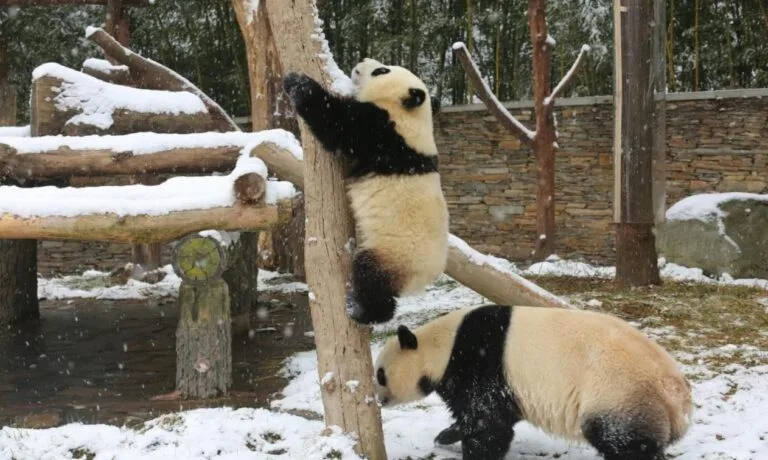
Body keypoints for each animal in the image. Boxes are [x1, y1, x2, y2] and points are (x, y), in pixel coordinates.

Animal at [282, 58, 449, 325]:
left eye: (381, 70)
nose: (362, 62)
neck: (413, 116)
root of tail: (424, 279)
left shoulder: (382, 132)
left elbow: (336, 124)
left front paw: (297, 82)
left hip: (395, 254)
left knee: (370, 277)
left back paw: (360, 310)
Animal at [374, 305, 693, 460]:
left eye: (380, 374)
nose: (379, 399)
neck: (442, 345)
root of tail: (677, 395)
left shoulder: (480, 363)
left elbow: (487, 423)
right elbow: (496, 417)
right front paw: (446, 435)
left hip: (618, 394)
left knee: (627, 444)